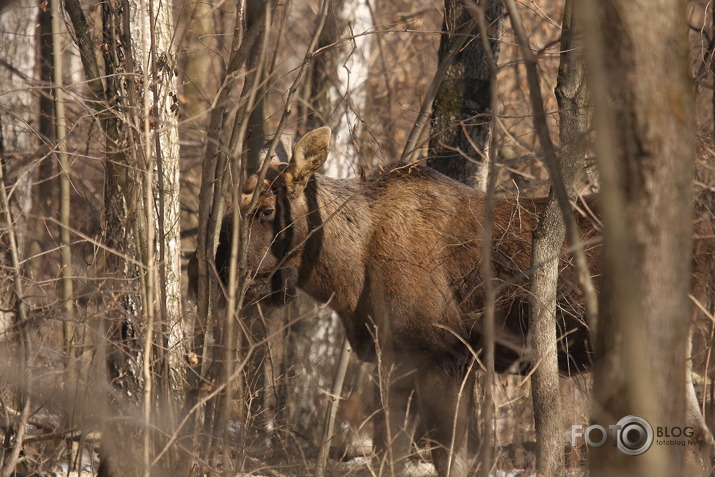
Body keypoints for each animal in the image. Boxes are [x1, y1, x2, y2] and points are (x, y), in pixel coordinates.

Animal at [192, 127, 715, 476]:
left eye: (265, 211)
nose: (215, 268)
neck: (348, 273)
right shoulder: (396, 359)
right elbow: (395, 452)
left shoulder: (446, 355)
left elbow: (447, 456)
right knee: (693, 437)